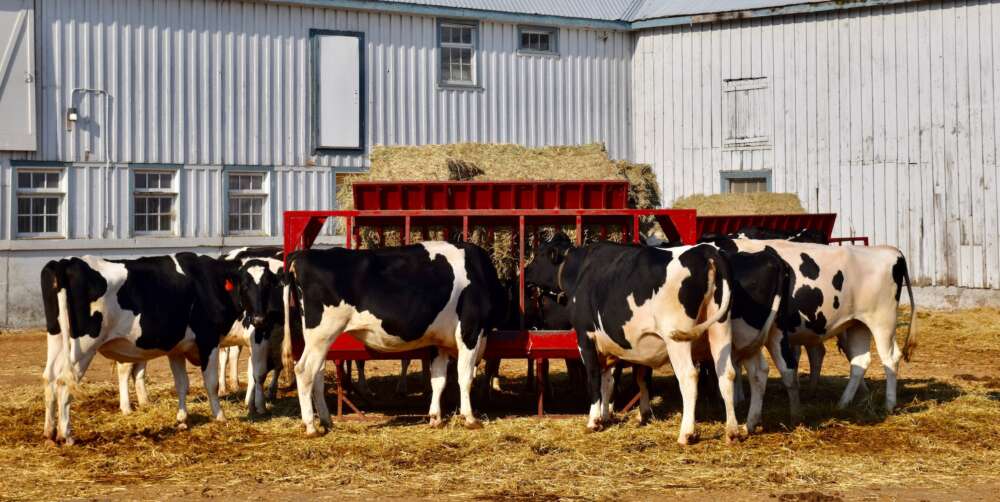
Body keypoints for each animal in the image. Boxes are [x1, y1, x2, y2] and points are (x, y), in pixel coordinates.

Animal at [283, 241, 507, 436]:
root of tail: (302, 254)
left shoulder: (439, 342)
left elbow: (438, 380)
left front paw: (435, 418)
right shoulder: (470, 331)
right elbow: (465, 377)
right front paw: (470, 418)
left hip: (318, 338)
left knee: (317, 373)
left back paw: (326, 421)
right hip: (323, 332)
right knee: (304, 371)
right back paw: (311, 426)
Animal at [524, 234, 738, 444]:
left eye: (538, 255)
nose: (525, 272)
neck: (581, 272)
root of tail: (705, 250)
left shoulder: (586, 337)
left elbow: (594, 379)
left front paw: (594, 421)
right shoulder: (611, 346)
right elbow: (613, 381)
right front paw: (609, 416)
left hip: (677, 339)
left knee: (689, 376)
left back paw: (686, 433)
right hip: (720, 330)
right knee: (726, 373)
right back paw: (733, 432)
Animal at [715, 238, 917, 421]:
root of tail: (890, 250)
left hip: (883, 321)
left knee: (890, 358)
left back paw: (889, 405)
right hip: (858, 324)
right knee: (860, 361)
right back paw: (842, 403)